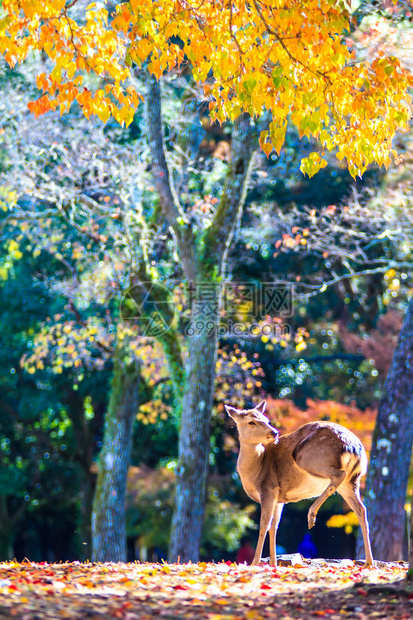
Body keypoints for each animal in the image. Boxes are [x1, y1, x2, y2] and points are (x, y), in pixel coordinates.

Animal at [225, 402, 374, 568]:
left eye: (266, 419)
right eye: (251, 422)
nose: (274, 432)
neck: (255, 470)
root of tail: (355, 447)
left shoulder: (268, 489)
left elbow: (264, 524)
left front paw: (255, 563)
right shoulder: (279, 498)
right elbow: (274, 526)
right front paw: (273, 564)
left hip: (307, 457)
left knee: (338, 476)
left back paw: (311, 515)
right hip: (352, 480)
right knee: (361, 509)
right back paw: (369, 562)